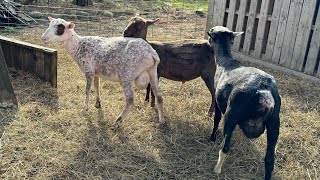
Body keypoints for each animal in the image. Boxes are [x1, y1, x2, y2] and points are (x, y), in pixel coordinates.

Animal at [208, 25, 280, 180]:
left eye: (211, 32)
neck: (225, 62)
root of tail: (264, 91)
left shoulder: (217, 100)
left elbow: (216, 119)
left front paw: (211, 138)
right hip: (274, 122)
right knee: (270, 158)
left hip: (231, 114)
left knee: (225, 147)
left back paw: (217, 170)